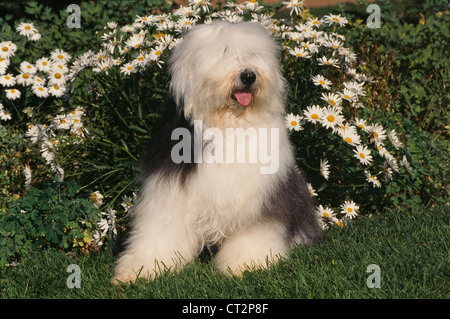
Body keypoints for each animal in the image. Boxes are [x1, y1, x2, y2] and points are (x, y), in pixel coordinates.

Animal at [114, 21, 322, 284]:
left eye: (252, 55)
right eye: (224, 52)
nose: (248, 75)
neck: (228, 125)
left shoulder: (257, 195)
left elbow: (254, 231)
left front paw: (249, 264)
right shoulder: (170, 190)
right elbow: (162, 230)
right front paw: (140, 269)